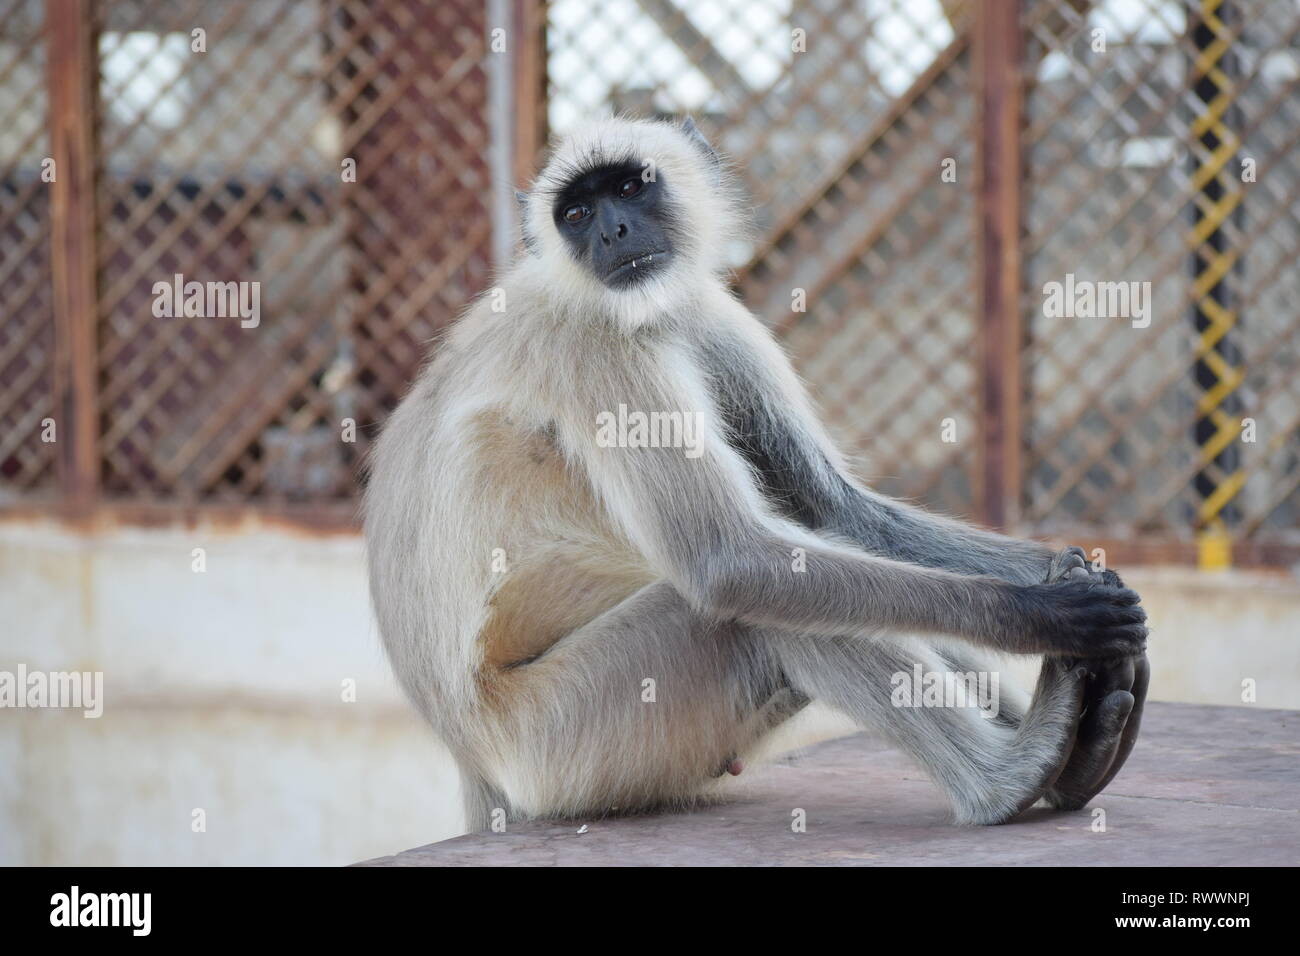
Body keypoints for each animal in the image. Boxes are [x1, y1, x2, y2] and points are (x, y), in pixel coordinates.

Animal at [366, 113, 1149, 832]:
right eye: (577, 214)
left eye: (631, 188)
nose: (612, 233)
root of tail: (473, 758)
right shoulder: (594, 346)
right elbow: (727, 559)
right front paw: (1047, 612)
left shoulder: (706, 312)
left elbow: (836, 511)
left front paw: (1078, 574)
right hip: (562, 743)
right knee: (752, 610)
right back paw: (1006, 780)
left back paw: (1079, 752)